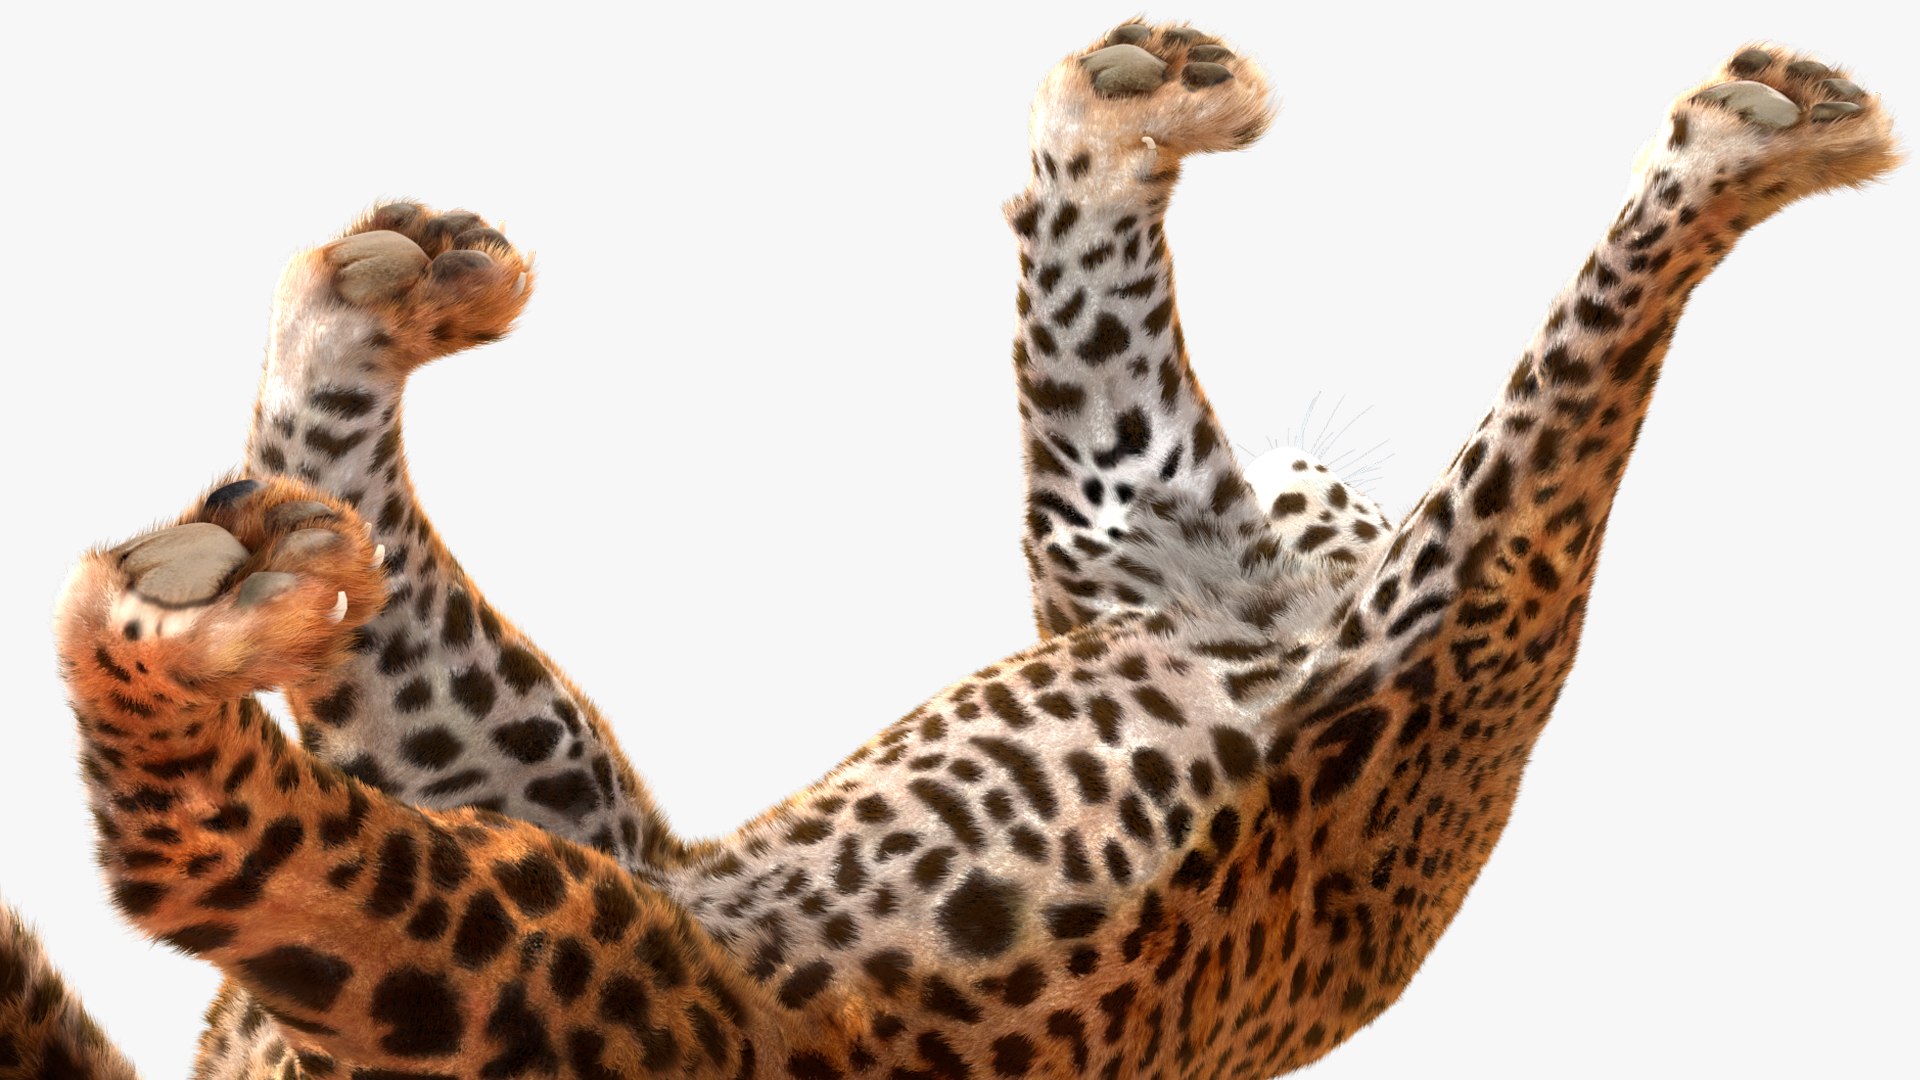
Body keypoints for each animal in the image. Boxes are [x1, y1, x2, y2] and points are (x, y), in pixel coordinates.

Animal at [0, 20, 1898, 1080]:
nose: (1310, 474)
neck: (1262, 604)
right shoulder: (1191, 545)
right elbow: (1101, 342)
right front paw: (1132, 113)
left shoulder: (1412, 613)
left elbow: (1553, 383)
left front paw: (1758, 140)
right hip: (562, 874)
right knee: (228, 778)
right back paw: (350, 355)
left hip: (554, 911)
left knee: (216, 819)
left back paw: (242, 534)